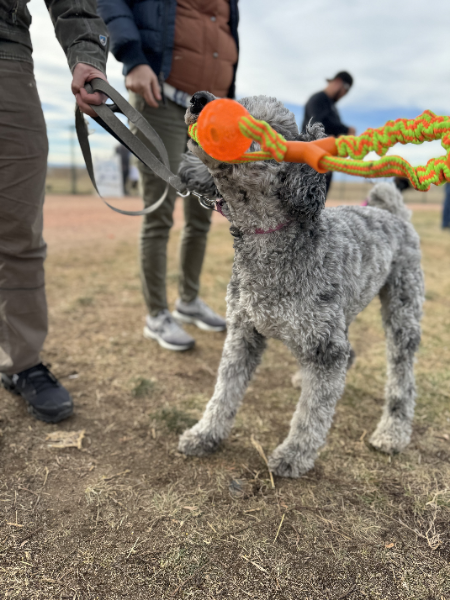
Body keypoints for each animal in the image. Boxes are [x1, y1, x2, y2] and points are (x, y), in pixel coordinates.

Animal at [177, 92, 426, 478]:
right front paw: (205, 435)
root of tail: (393, 214)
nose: (198, 99)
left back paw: (393, 432)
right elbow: (224, 392)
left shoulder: (326, 349)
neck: (269, 240)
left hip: (402, 310)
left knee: (402, 375)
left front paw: (294, 454)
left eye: (261, 121)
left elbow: (312, 412)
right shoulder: (243, 333)